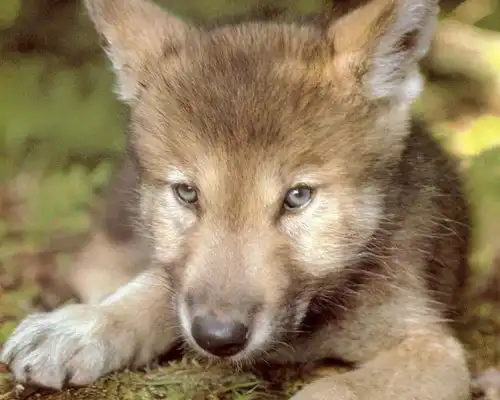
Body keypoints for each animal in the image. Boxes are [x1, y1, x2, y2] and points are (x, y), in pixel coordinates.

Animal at [0, 0, 472, 398]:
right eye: (187, 193)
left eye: (297, 197)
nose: (218, 337)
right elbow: (157, 287)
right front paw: (83, 326)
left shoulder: (434, 350)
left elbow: (333, 390)